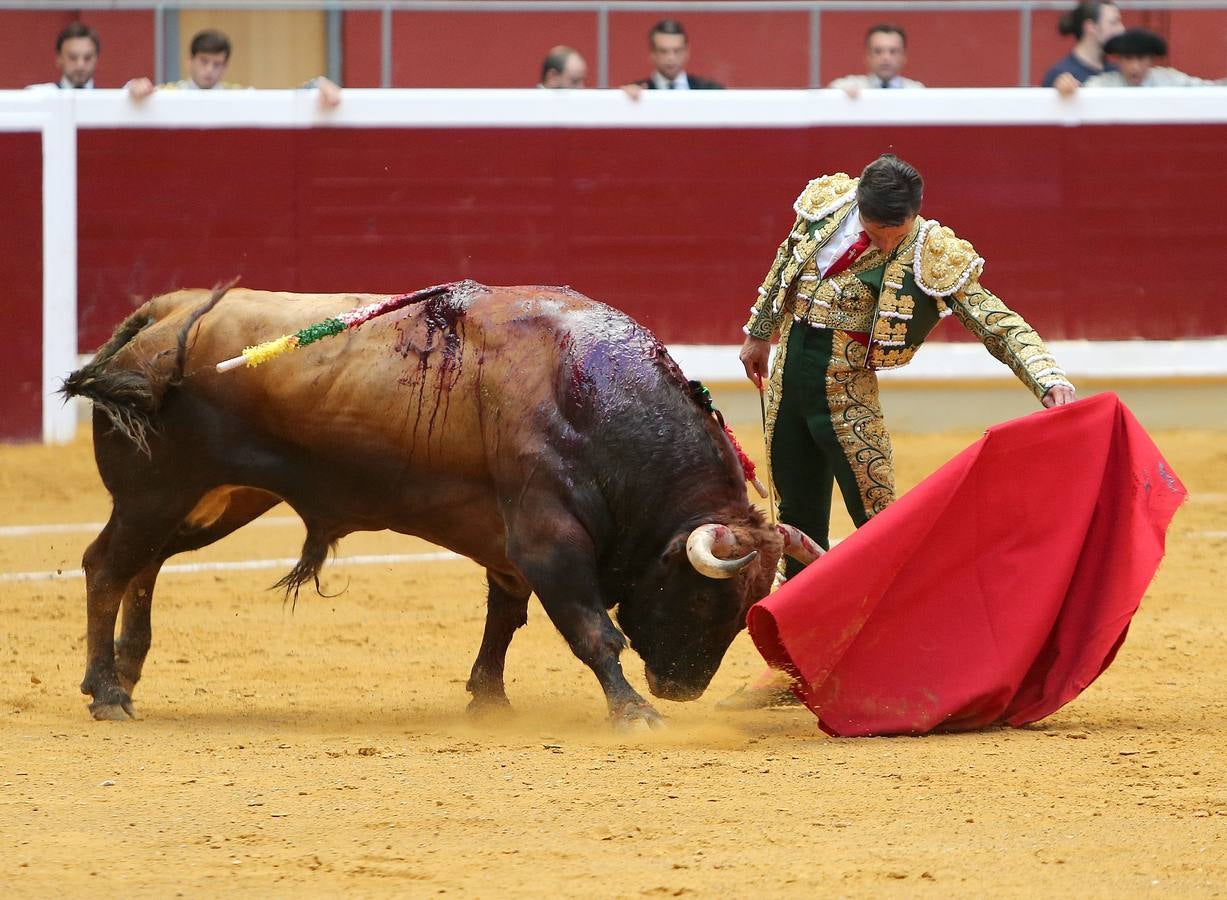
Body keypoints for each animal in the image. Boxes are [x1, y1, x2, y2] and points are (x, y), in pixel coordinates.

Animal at [62, 281, 819, 721]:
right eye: (704, 596)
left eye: (752, 604)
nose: (682, 689)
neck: (590, 398)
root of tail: (162, 315)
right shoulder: (547, 538)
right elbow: (591, 629)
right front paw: (633, 711)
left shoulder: (510, 548)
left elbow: (503, 618)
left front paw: (489, 697)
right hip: (157, 492)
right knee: (107, 565)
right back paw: (106, 693)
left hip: (217, 500)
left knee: (145, 567)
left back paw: (128, 670)